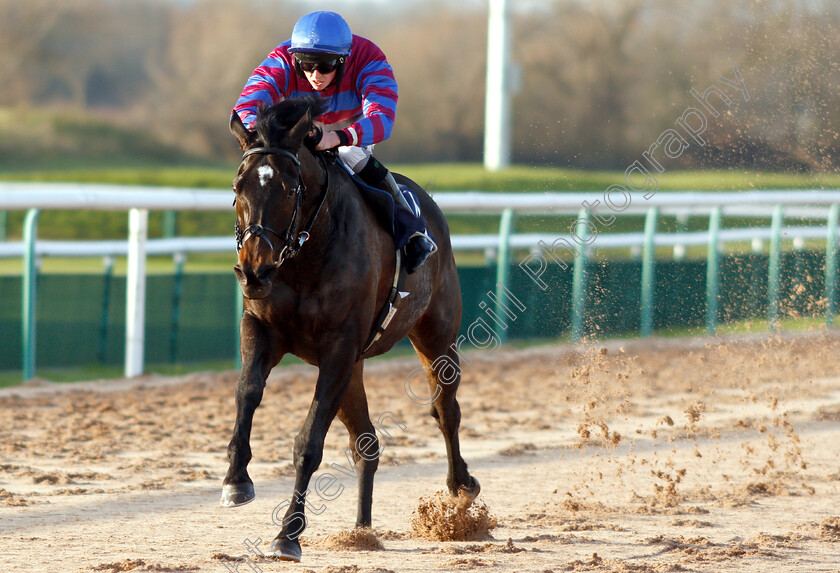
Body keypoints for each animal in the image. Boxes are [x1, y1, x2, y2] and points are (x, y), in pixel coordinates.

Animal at [220, 96, 480, 560]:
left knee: (446, 410)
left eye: (290, 190)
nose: (253, 271)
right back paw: (362, 529)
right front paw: (236, 480)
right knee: (366, 442)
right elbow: (247, 392)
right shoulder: (263, 328)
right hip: (355, 366)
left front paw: (287, 535)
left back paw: (460, 489)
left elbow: (308, 443)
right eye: (238, 188)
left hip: (435, 334)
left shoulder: (339, 348)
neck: (305, 257)